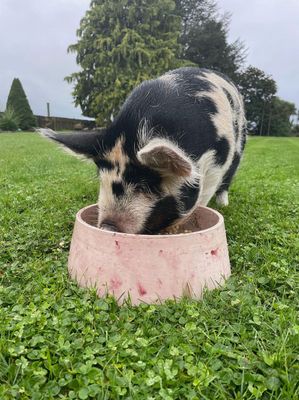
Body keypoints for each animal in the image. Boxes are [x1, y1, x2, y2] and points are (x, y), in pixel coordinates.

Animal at [39, 66, 246, 234]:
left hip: (239, 144)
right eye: (102, 179)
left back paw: (223, 204)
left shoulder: (216, 164)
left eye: (145, 186)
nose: (107, 226)